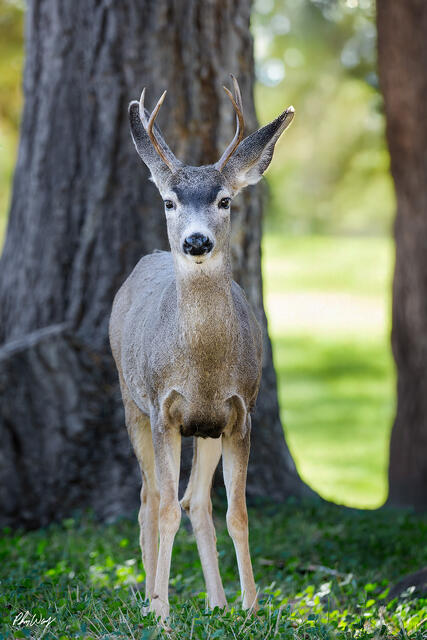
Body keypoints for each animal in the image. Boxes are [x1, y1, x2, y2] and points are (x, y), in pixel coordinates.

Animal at [109, 76, 294, 620]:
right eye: (170, 202)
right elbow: (166, 507)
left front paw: (251, 608)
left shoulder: (240, 411)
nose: (195, 242)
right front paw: (162, 613)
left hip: (206, 428)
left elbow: (238, 513)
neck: (204, 366)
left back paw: (216, 601)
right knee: (151, 498)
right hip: (130, 400)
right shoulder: (162, 408)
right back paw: (148, 596)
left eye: (225, 200)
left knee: (197, 501)